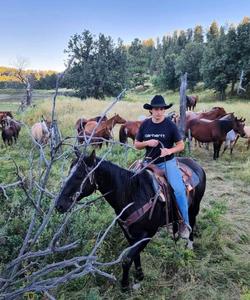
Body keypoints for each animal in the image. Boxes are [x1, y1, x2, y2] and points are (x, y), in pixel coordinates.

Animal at [55, 151, 206, 290]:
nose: (59, 205)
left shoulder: (147, 234)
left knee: (191, 225)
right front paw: (139, 276)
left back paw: (189, 247)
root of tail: (195, 164)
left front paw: (125, 285)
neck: (133, 194)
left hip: (194, 209)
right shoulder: (128, 232)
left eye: (80, 175)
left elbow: (127, 258)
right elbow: (135, 255)